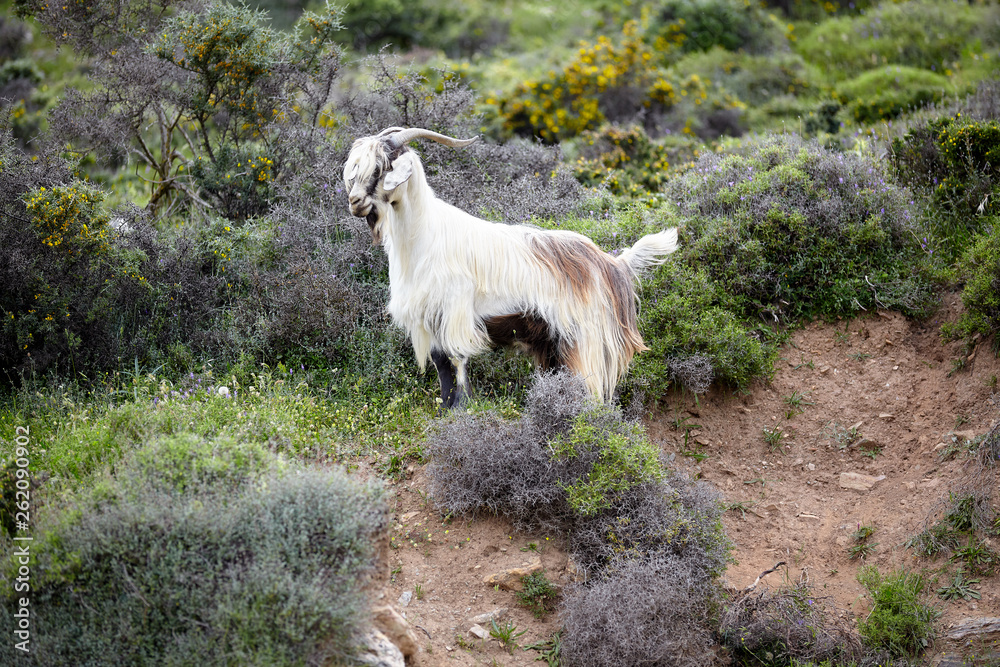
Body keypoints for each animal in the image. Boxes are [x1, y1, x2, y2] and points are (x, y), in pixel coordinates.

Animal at [343, 127, 678, 407]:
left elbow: (457, 360)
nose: (355, 201)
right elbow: (441, 365)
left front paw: (461, 409)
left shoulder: (456, 310)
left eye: (380, 167)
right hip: (552, 340)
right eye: (355, 169)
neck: (423, 237)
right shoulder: (431, 316)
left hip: (584, 336)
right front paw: (445, 409)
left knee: (590, 386)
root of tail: (611, 262)